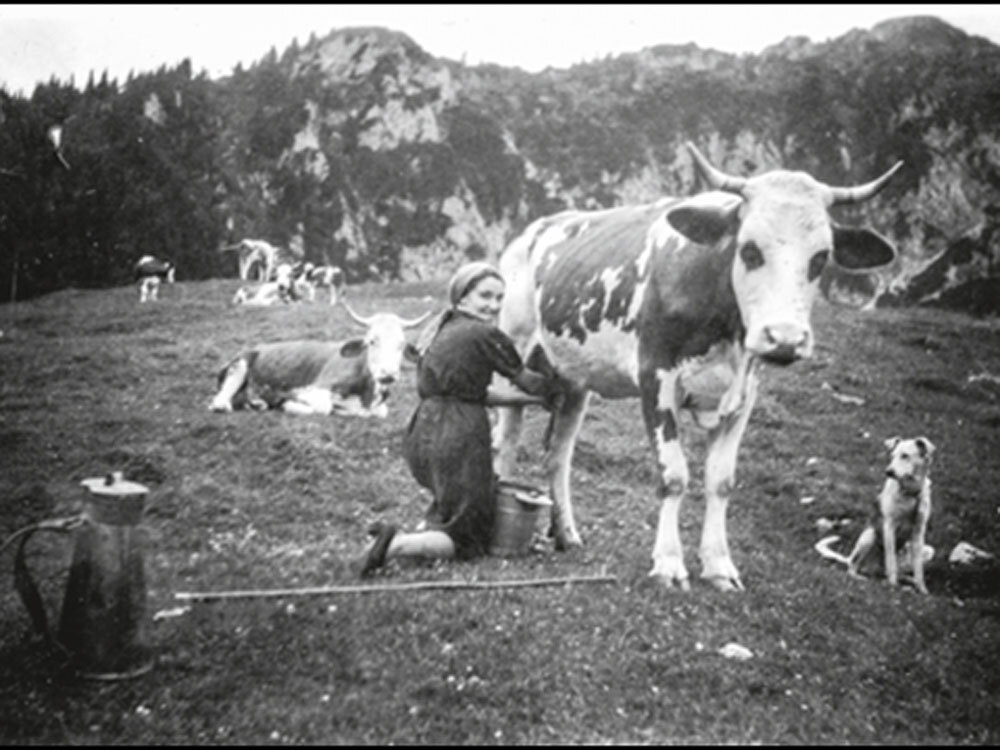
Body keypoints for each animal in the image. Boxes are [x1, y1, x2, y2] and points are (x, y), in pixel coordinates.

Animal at [209, 300, 432, 418]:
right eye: (372, 341)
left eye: (401, 344)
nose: (388, 374)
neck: (367, 393)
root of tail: (255, 347)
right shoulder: (316, 387)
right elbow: (322, 406)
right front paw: (288, 404)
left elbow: (380, 411)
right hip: (239, 366)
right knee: (220, 400)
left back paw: (256, 403)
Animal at [494, 141, 908, 592]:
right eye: (749, 249)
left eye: (820, 258)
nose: (784, 338)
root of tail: (533, 231)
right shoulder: (656, 380)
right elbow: (673, 475)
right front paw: (669, 563)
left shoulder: (745, 394)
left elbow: (720, 481)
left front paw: (719, 565)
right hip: (510, 356)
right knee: (505, 443)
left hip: (572, 381)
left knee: (557, 455)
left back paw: (566, 532)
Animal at [816, 438, 932, 596]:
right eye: (892, 456)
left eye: (905, 455)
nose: (888, 472)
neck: (910, 493)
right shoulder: (889, 526)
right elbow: (891, 560)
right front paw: (893, 585)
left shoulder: (919, 531)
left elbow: (918, 569)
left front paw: (922, 589)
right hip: (869, 536)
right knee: (854, 566)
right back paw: (861, 576)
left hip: (928, 550)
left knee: (900, 571)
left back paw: (908, 579)